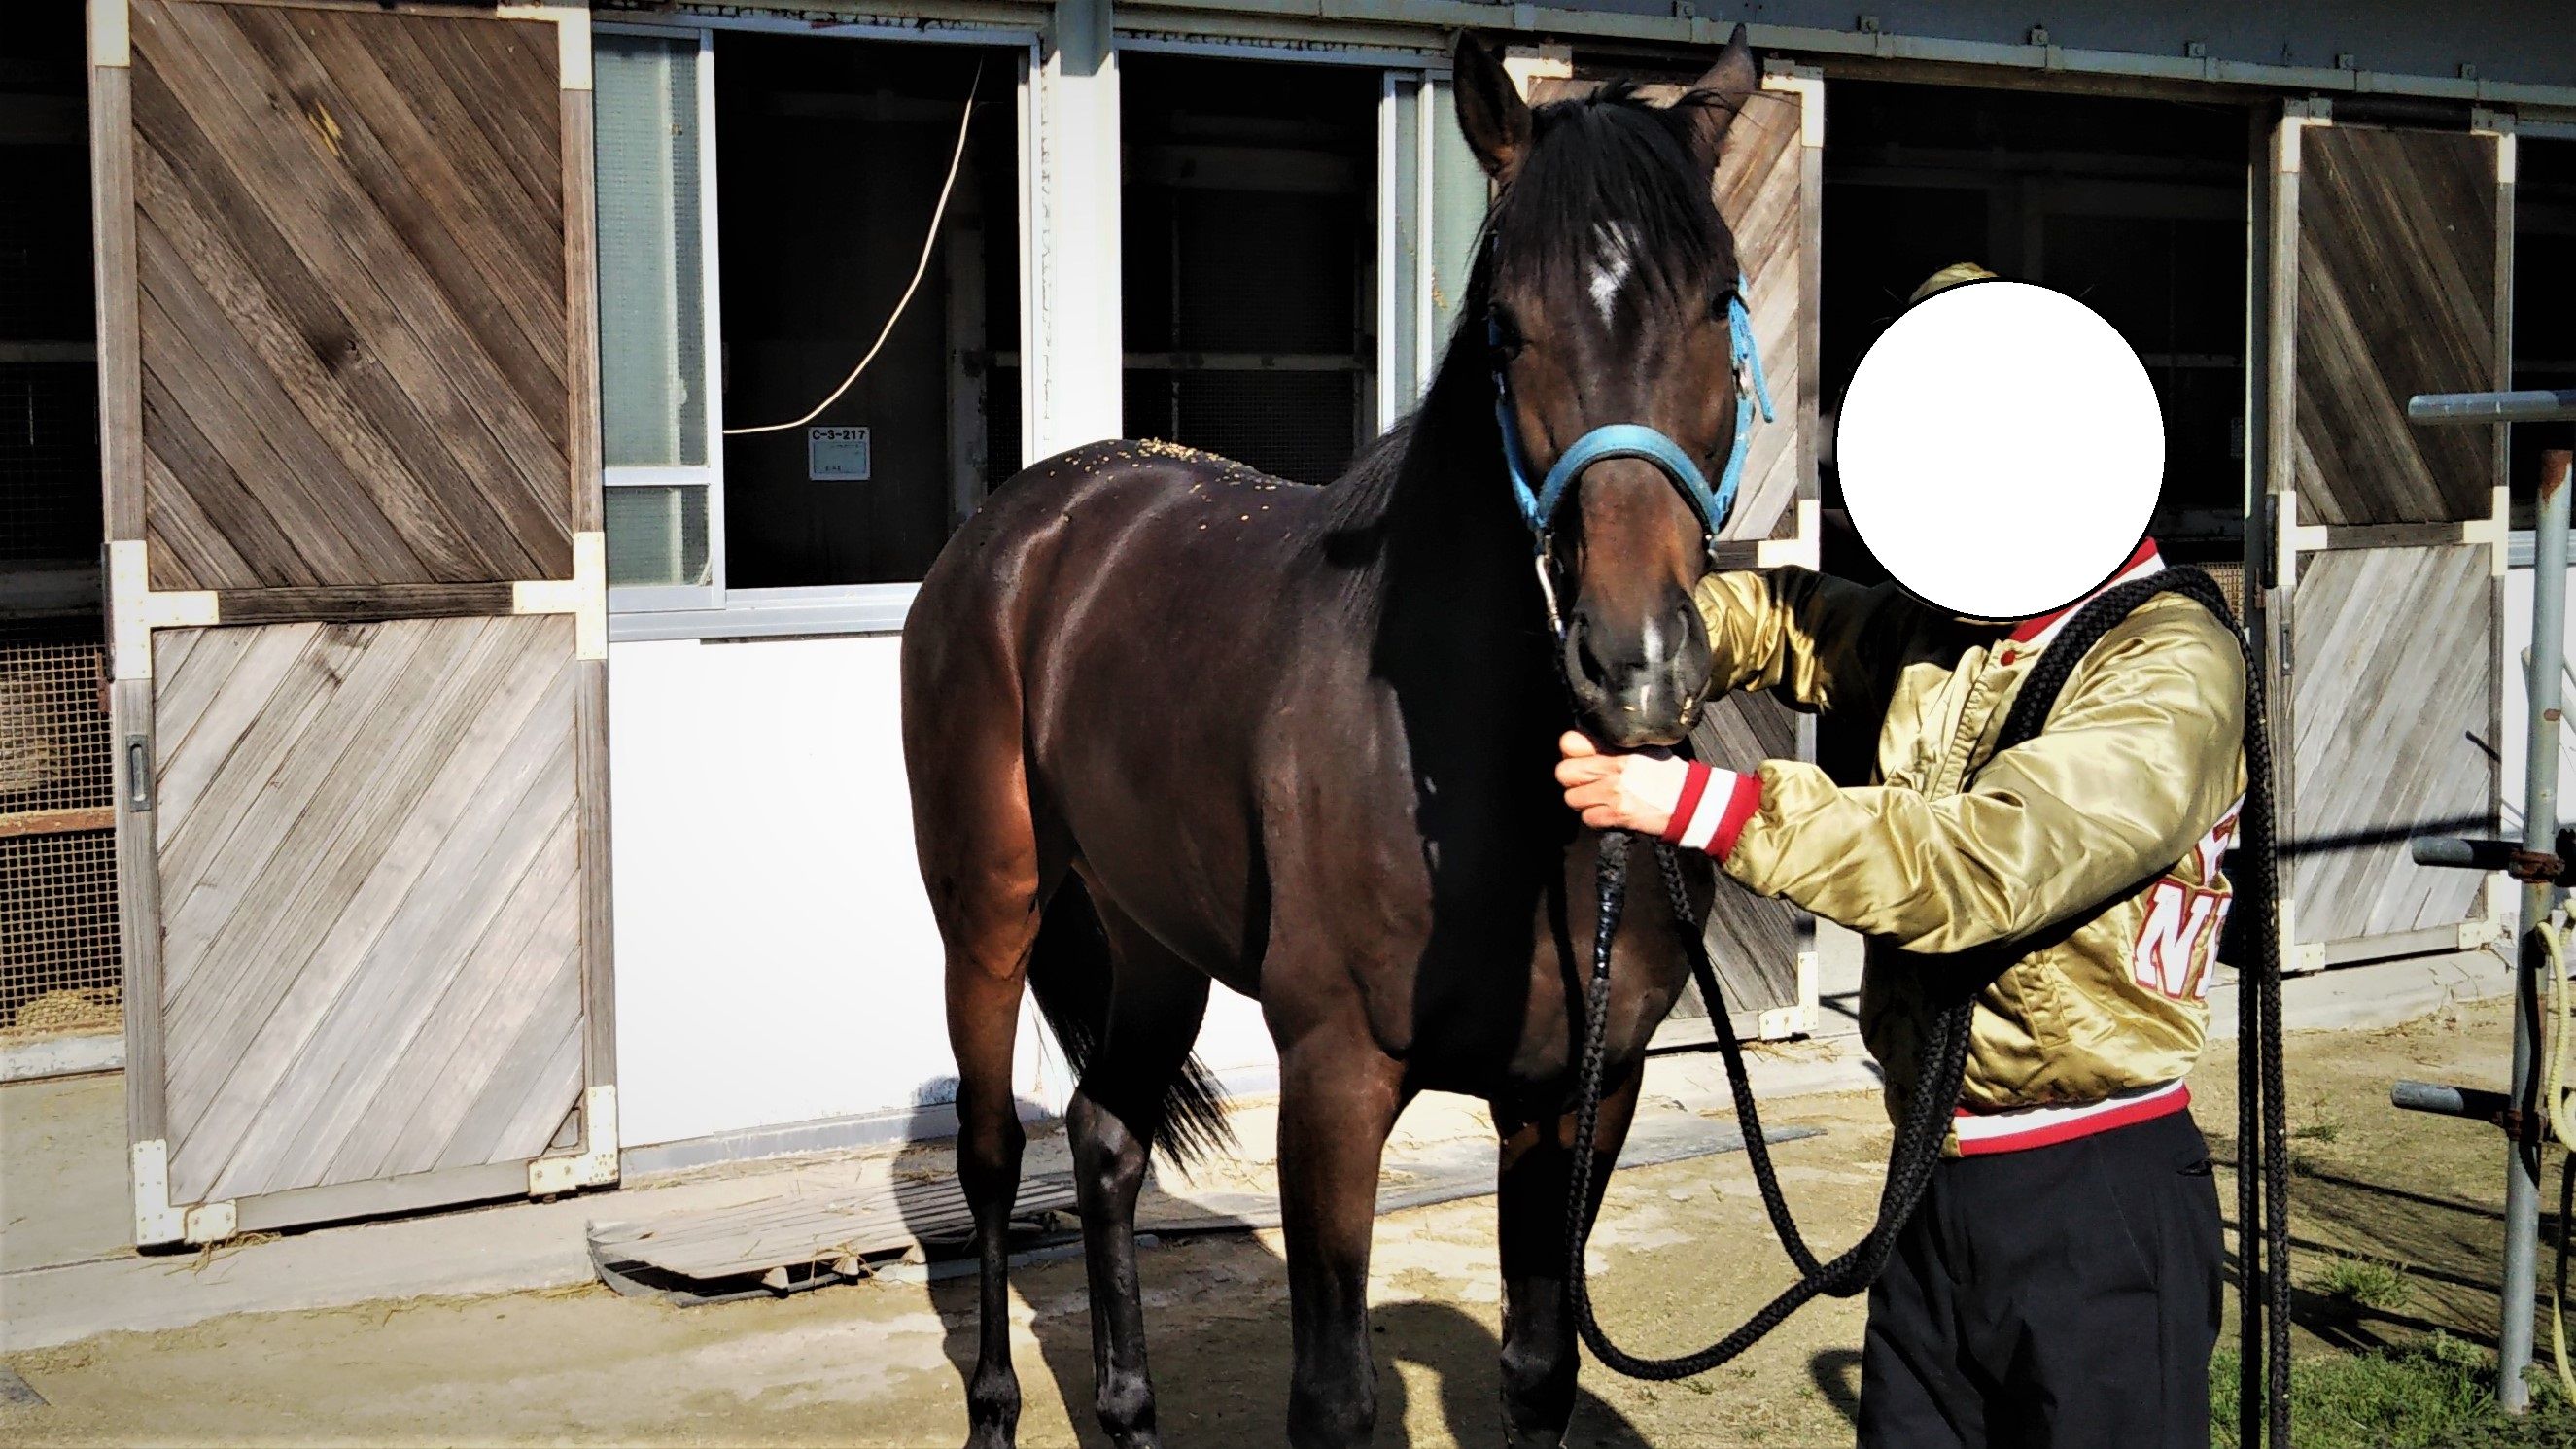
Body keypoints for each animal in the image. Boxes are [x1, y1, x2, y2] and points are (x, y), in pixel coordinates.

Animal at [906, 34, 1772, 1449]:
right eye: (1506, 327)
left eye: (1715, 302)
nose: (1633, 661)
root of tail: (1029, 519)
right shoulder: (1332, 1081)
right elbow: (1331, 1396)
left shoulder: (1577, 1098)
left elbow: (1538, 1369)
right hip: (988, 910)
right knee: (990, 1157)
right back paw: (993, 1407)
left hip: (1152, 934)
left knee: (1103, 1135)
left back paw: (1128, 1407)